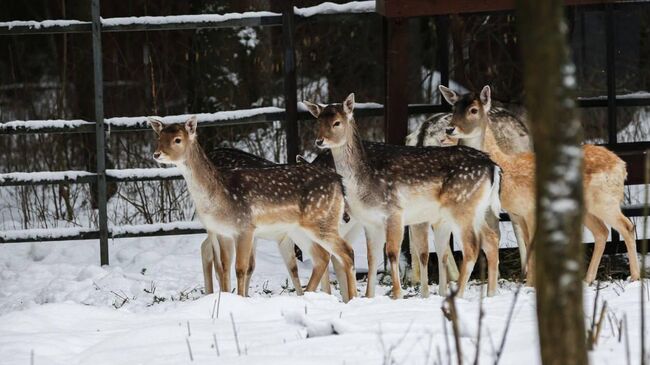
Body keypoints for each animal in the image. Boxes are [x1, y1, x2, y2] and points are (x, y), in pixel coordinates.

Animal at [149, 116, 356, 302]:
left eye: (177, 139)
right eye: (159, 137)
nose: (156, 154)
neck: (220, 195)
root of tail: (338, 180)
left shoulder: (245, 227)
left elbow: (241, 268)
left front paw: (240, 300)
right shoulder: (223, 232)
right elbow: (224, 267)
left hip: (320, 221)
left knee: (345, 252)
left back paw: (350, 298)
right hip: (301, 229)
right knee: (323, 257)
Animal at [304, 92, 502, 298]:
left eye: (337, 122)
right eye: (318, 122)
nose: (319, 141)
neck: (363, 185)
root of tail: (493, 166)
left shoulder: (394, 211)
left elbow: (392, 253)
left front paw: (397, 294)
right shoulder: (370, 222)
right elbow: (372, 258)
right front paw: (368, 296)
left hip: (462, 206)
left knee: (471, 248)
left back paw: (460, 294)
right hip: (475, 209)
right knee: (490, 238)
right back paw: (491, 293)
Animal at [438, 85, 640, 284]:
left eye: (473, 110)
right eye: (453, 108)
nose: (449, 130)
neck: (507, 167)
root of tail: (622, 165)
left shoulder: (530, 209)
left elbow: (533, 246)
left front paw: (531, 284)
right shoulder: (517, 213)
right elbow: (527, 245)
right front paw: (529, 282)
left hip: (605, 200)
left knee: (627, 226)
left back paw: (634, 276)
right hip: (588, 208)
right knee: (602, 231)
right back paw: (588, 279)